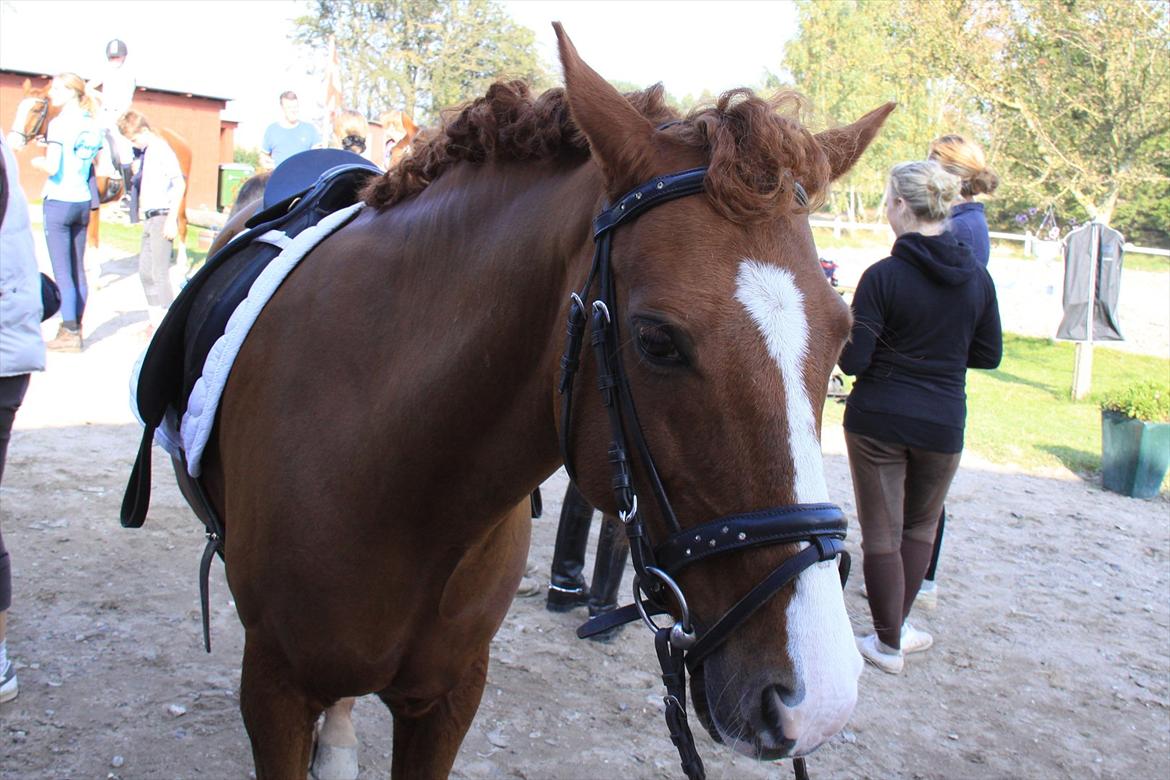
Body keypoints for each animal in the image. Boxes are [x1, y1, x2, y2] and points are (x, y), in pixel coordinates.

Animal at [5, 78, 191, 251]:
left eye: (36, 110)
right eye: (18, 108)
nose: (12, 142)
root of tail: (179, 140)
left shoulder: (92, 205)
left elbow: (91, 243)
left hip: (181, 194)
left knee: (182, 224)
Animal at [167, 25, 893, 780]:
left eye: (843, 335)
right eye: (655, 340)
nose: (819, 700)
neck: (397, 480)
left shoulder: (449, 694)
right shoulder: (274, 690)